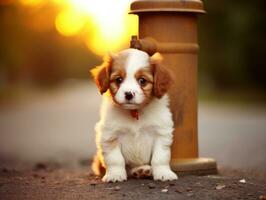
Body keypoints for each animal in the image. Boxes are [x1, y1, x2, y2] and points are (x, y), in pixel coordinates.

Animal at [90, 48, 178, 181]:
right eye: (119, 80)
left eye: (142, 81)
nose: (128, 94)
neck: (135, 112)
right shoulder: (109, 135)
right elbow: (115, 159)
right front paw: (115, 175)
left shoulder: (161, 133)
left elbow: (160, 157)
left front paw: (164, 173)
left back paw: (142, 170)